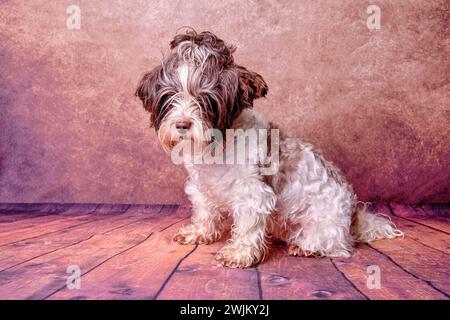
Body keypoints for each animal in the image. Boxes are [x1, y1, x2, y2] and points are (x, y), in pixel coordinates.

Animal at [134, 30, 404, 268]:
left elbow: (247, 227)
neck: (220, 146)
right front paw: (199, 232)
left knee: (337, 245)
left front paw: (239, 254)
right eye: (169, 96)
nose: (182, 124)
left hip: (325, 225)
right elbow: (206, 212)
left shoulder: (253, 194)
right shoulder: (202, 188)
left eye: (207, 100)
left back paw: (308, 247)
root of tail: (354, 217)